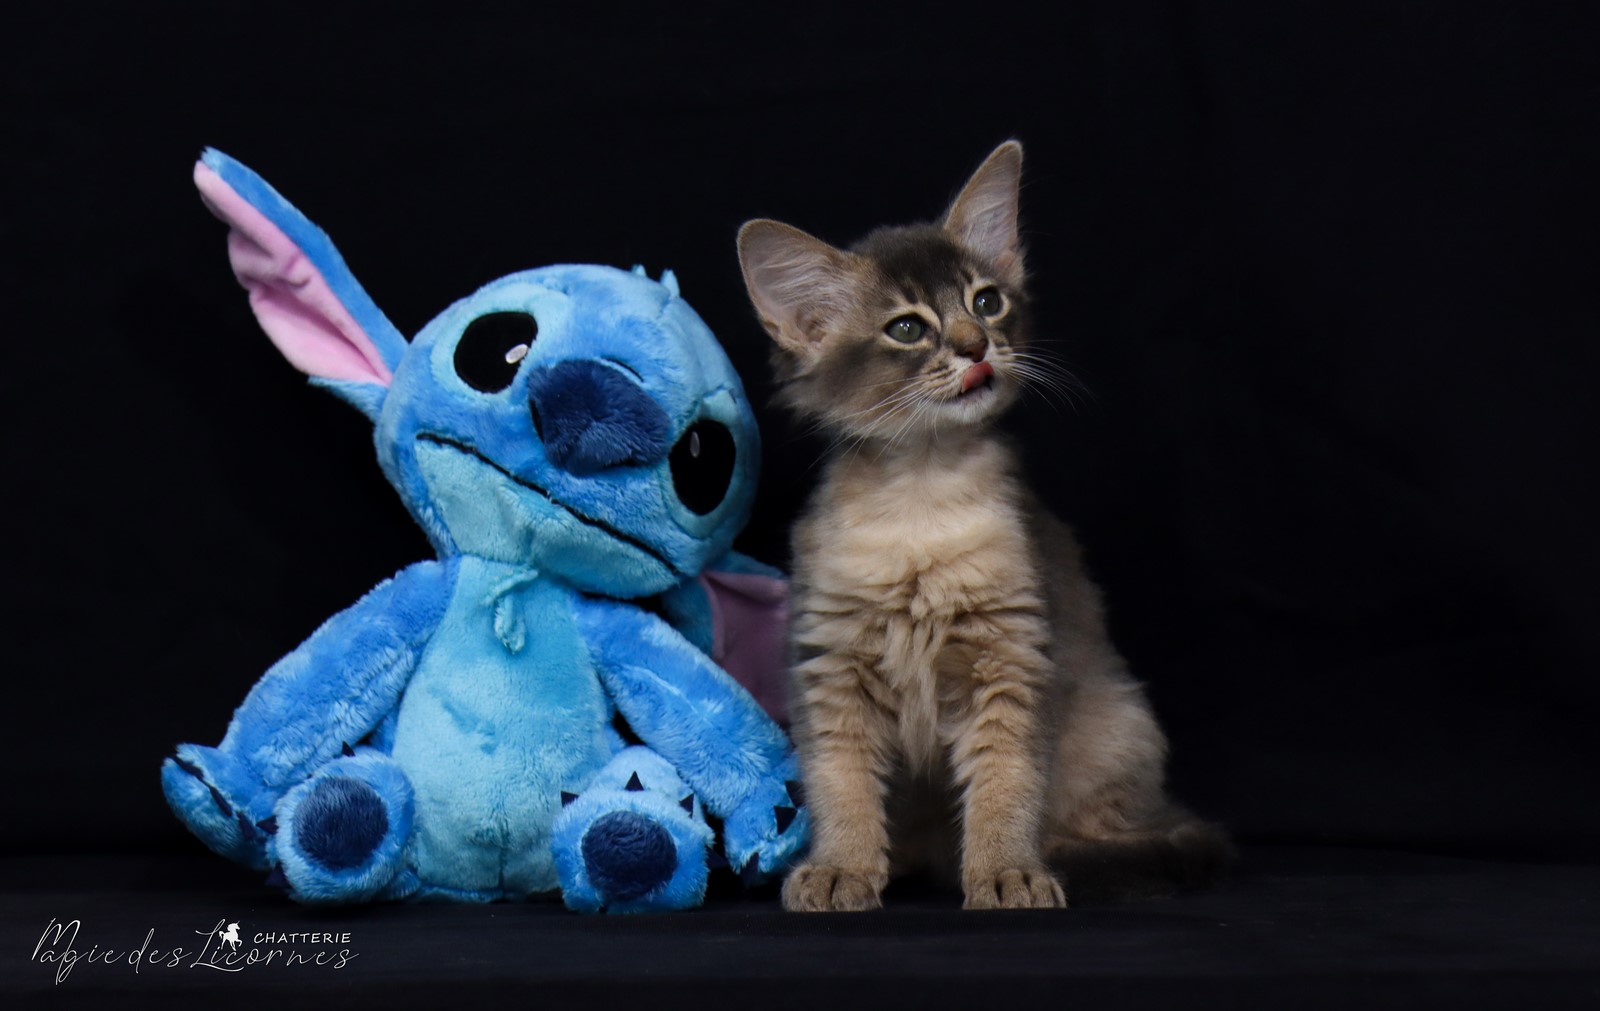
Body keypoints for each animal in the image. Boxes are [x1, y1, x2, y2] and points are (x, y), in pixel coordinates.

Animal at [736, 140, 1230, 911]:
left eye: (986, 301)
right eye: (907, 328)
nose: (975, 347)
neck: (922, 495)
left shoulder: (1013, 655)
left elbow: (1007, 781)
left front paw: (1006, 871)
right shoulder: (832, 663)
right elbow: (840, 781)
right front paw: (842, 865)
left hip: (1119, 722)